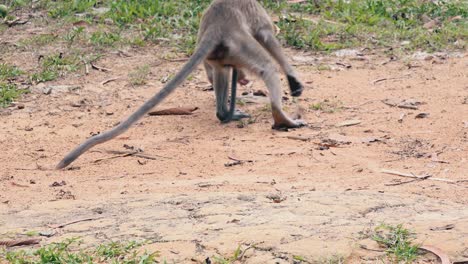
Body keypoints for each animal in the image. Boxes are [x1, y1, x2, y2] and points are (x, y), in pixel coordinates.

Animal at [54, 0, 306, 169]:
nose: (243, 78)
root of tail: (216, 28)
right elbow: (267, 37)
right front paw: (293, 80)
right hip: (239, 45)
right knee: (267, 67)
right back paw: (282, 120)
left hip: (219, 53)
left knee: (220, 71)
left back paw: (225, 113)